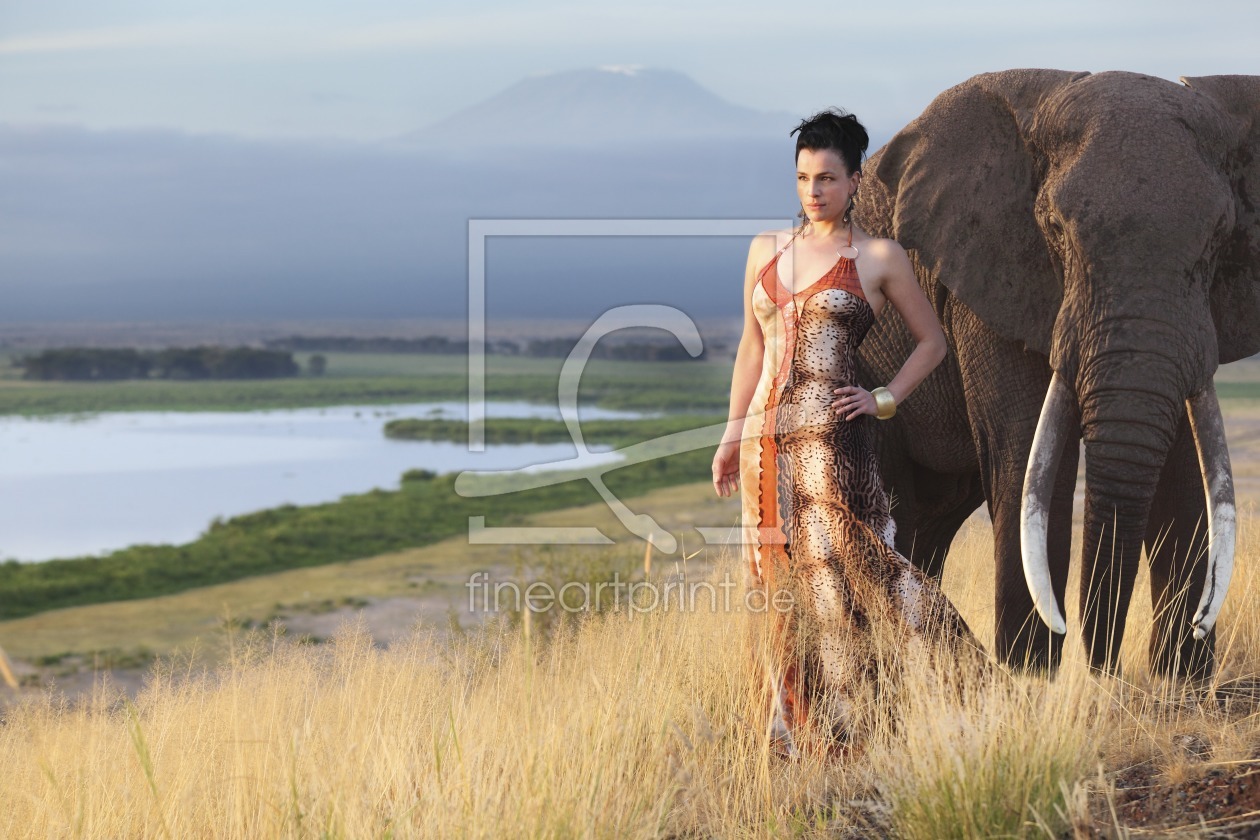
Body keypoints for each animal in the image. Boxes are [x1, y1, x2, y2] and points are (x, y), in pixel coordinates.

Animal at [851, 68, 1254, 680]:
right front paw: (1029, 681)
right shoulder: (988, 270)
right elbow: (1029, 460)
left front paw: (1179, 683)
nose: (1103, 671)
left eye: (1219, 239)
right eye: (1056, 231)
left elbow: (1185, 468)